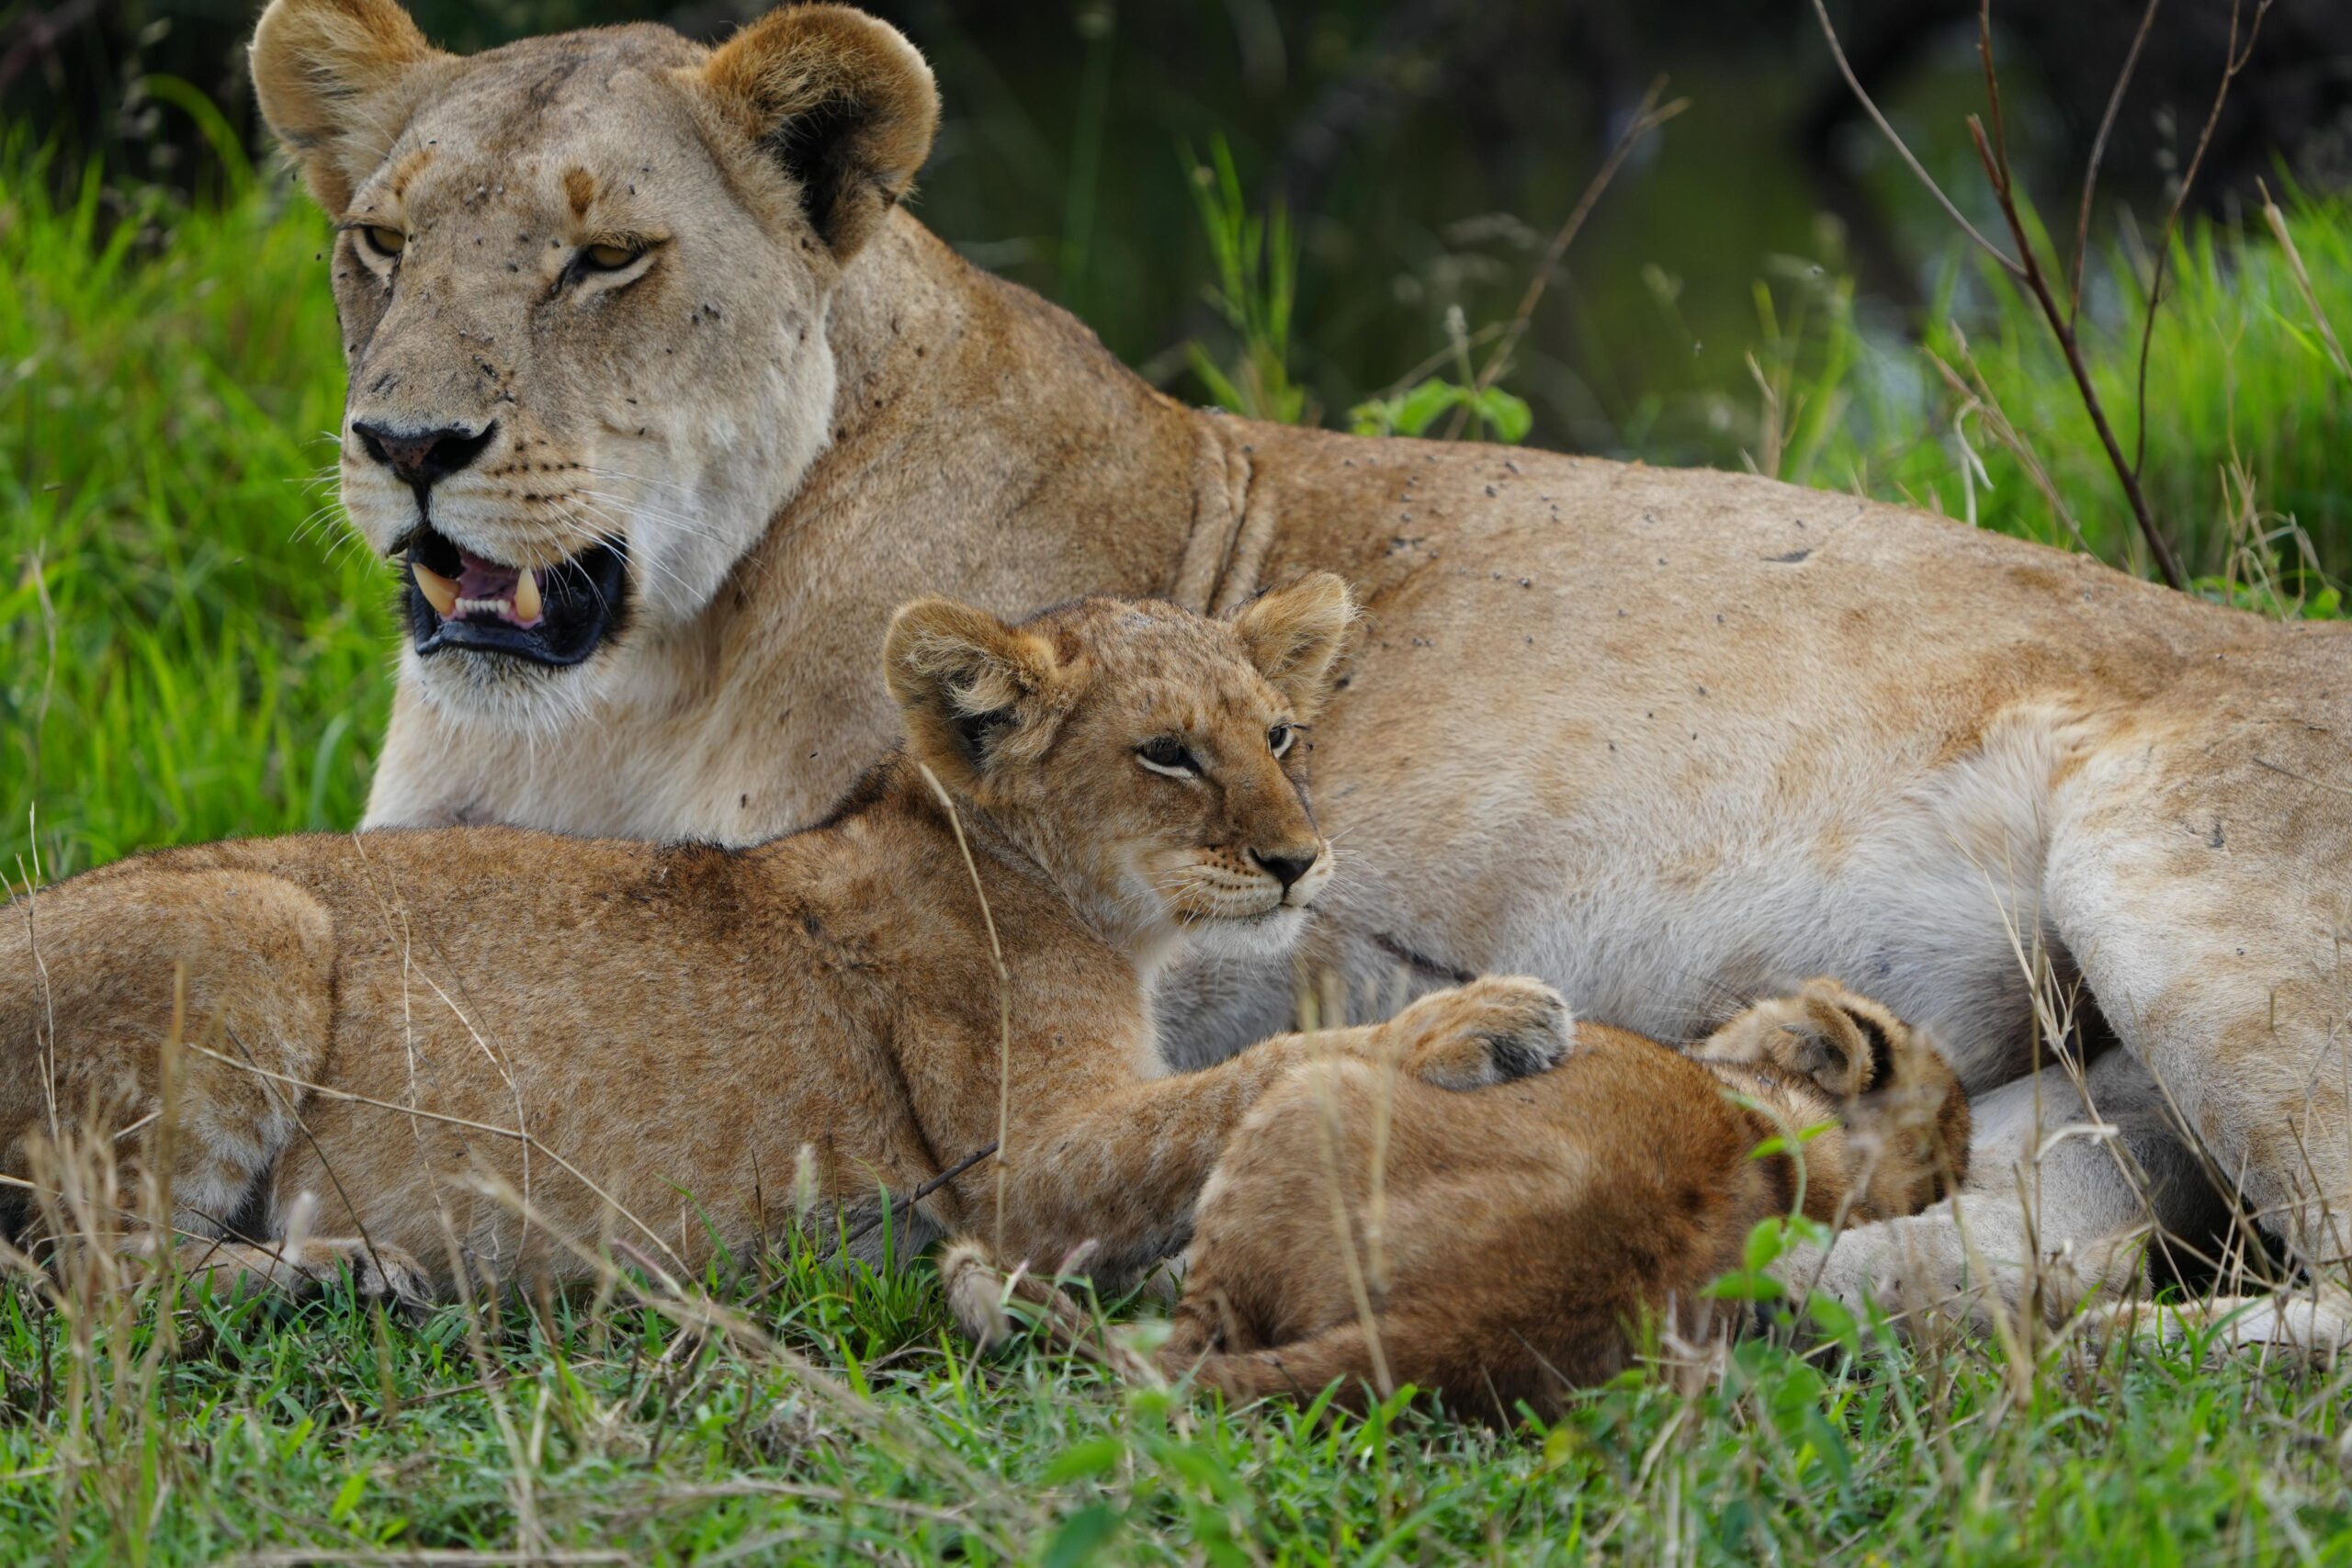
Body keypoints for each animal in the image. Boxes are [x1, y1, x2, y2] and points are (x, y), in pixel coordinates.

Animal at [0, 576, 1573, 1301]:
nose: (1302, 859)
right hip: (255, 914)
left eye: (1282, 733)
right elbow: (1256, 1071)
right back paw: (341, 1268)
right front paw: (1485, 1023)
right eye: (1170, 752)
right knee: (100, 1273)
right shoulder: (1017, 1171)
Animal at [240, 1, 2352, 1327]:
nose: (404, 443)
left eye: (608, 259)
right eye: (378, 240)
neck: (620, 687)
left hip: (2180, 903)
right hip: (2087, 1097)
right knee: (2016, 1244)